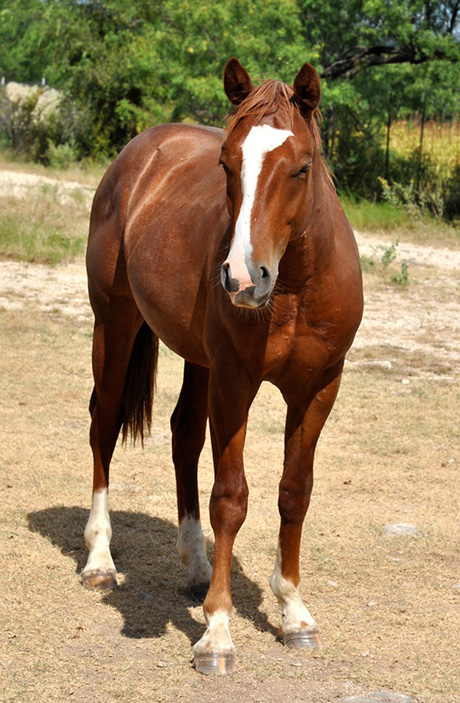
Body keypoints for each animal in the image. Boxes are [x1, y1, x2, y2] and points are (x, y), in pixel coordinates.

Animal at [82, 59, 362, 676]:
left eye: (301, 168)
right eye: (227, 164)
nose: (241, 277)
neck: (294, 288)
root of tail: (141, 152)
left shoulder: (318, 389)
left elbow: (295, 492)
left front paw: (294, 614)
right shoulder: (236, 384)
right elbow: (230, 499)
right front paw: (216, 633)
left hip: (197, 360)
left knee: (183, 435)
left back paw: (194, 565)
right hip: (114, 327)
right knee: (103, 426)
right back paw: (99, 559)